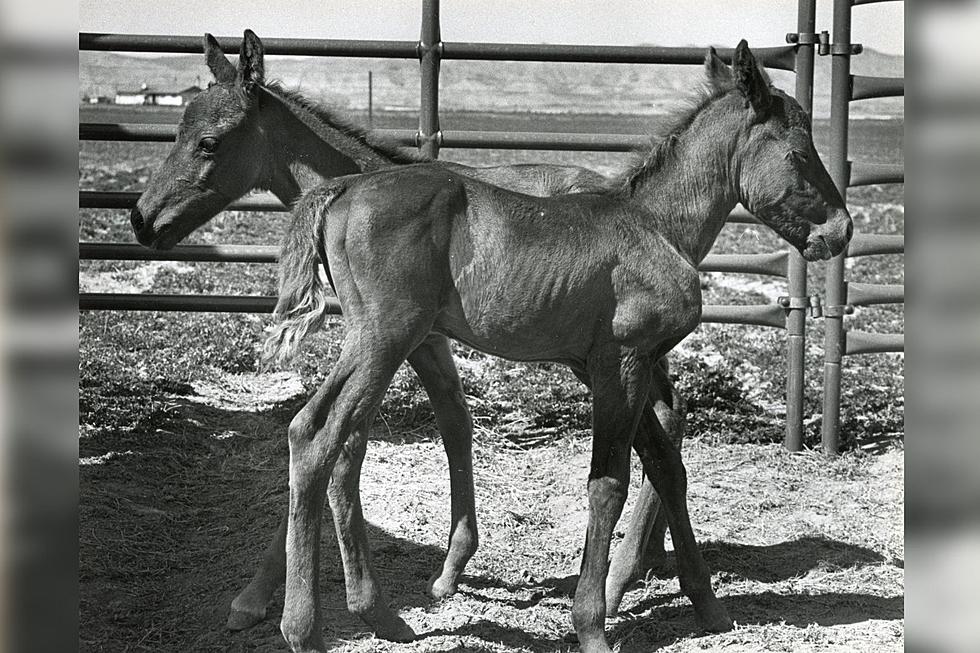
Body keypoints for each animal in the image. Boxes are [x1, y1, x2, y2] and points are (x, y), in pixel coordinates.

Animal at [268, 42, 848, 652]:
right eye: (798, 152)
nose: (841, 230)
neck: (657, 227)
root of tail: (342, 189)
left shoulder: (606, 367)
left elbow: (666, 467)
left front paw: (708, 606)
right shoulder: (625, 361)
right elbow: (609, 484)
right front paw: (592, 624)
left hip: (375, 340)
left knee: (323, 437)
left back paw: (379, 616)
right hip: (385, 336)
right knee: (317, 437)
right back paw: (305, 628)